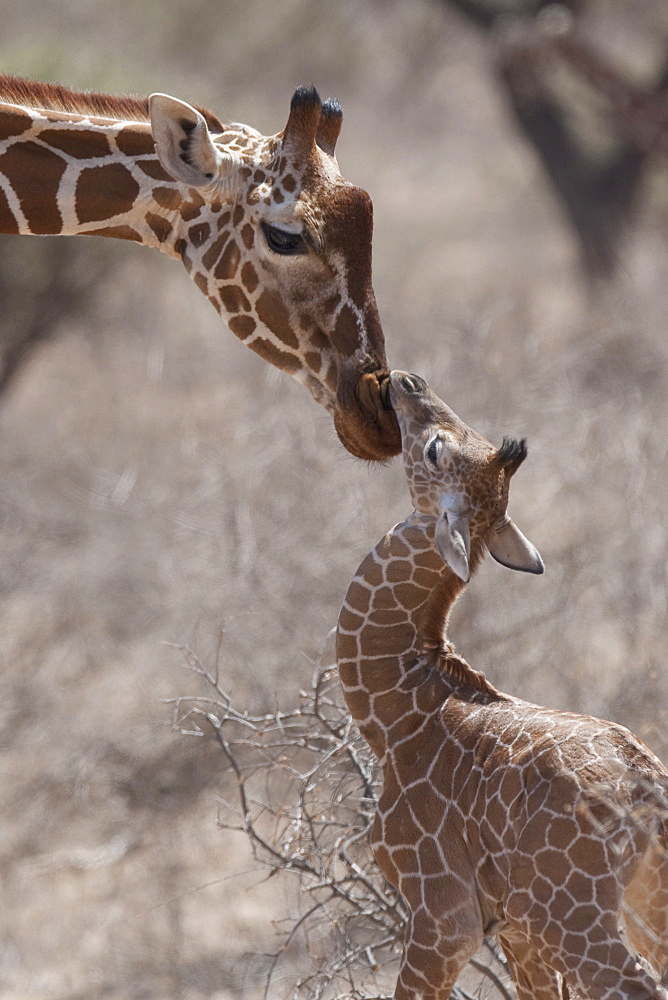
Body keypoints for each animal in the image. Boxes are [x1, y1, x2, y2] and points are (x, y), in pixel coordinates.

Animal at [336, 374, 668, 1000]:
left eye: (435, 449)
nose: (406, 381)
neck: (396, 709)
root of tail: (650, 791)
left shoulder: (443, 915)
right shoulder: (514, 931)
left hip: (573, 916)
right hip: (638, 903)